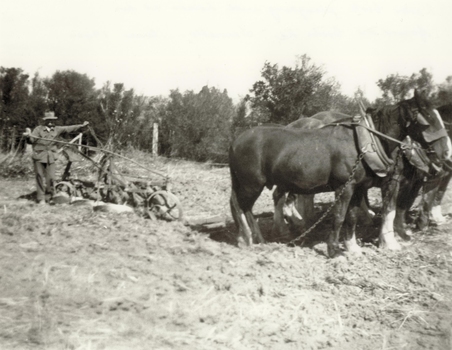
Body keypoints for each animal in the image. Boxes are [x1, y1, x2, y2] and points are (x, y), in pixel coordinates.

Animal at [230, 89, 452, 258]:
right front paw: (333, 250)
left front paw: (353, 248)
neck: (364, 142)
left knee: (243, 206)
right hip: (251, 184)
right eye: (428, 120)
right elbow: (339, 216)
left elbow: (352, 217)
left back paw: (253, 238)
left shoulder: (359, 187)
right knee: (242, 206)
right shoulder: (345, 187)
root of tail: (237, 139)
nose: (446, 153)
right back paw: (250, 238)